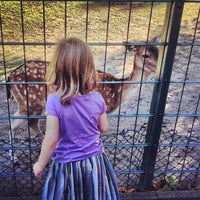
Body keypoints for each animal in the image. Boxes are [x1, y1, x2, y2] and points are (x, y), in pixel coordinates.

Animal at [6, 41, 158, 161]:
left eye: (158, 51)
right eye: (145, 55)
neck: (118, 91)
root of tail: (10, 76)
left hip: (32, 104)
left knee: (31, 122)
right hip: (30, 101)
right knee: (13, 122)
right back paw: (13, 157)